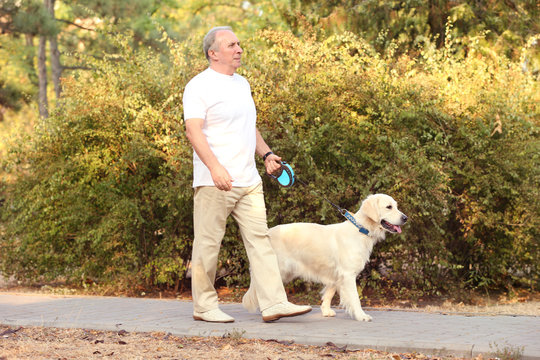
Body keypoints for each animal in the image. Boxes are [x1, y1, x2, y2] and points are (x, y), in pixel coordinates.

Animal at [243, 194, 408, 320]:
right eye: (389, 207)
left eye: (396, 206)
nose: (405, 218)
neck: (361, 230)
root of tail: (267, 233)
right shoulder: (348, 274)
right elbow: (355, 298)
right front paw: (361, 316)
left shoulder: (335, 274)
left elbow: (329, 294)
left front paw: (326, 311)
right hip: (276, 268)